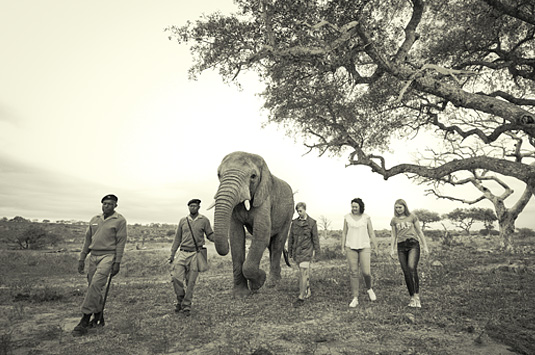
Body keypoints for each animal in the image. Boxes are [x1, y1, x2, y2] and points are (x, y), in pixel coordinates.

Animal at [211, 151, 296, 298]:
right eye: (218, 175)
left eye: (253, 176)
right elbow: (236, 237)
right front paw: (240, 295)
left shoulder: (264, 198)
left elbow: (261, 234)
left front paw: (258, 282)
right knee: (270, 244)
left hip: (289, 213)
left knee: (277, 243)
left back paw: (272, 283)